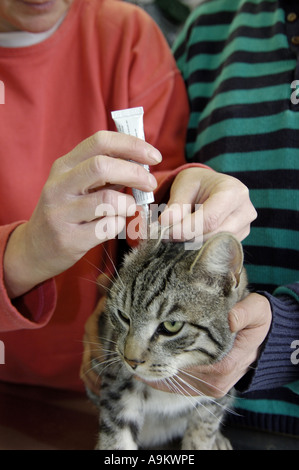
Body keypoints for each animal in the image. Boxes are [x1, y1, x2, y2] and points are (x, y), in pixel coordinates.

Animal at [88, 233, 248, 450]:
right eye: (123, 316)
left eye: (172, 325)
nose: (131, 361)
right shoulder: (117, 384)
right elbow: (117, 438)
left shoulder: (218, 393)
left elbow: (202, 433)